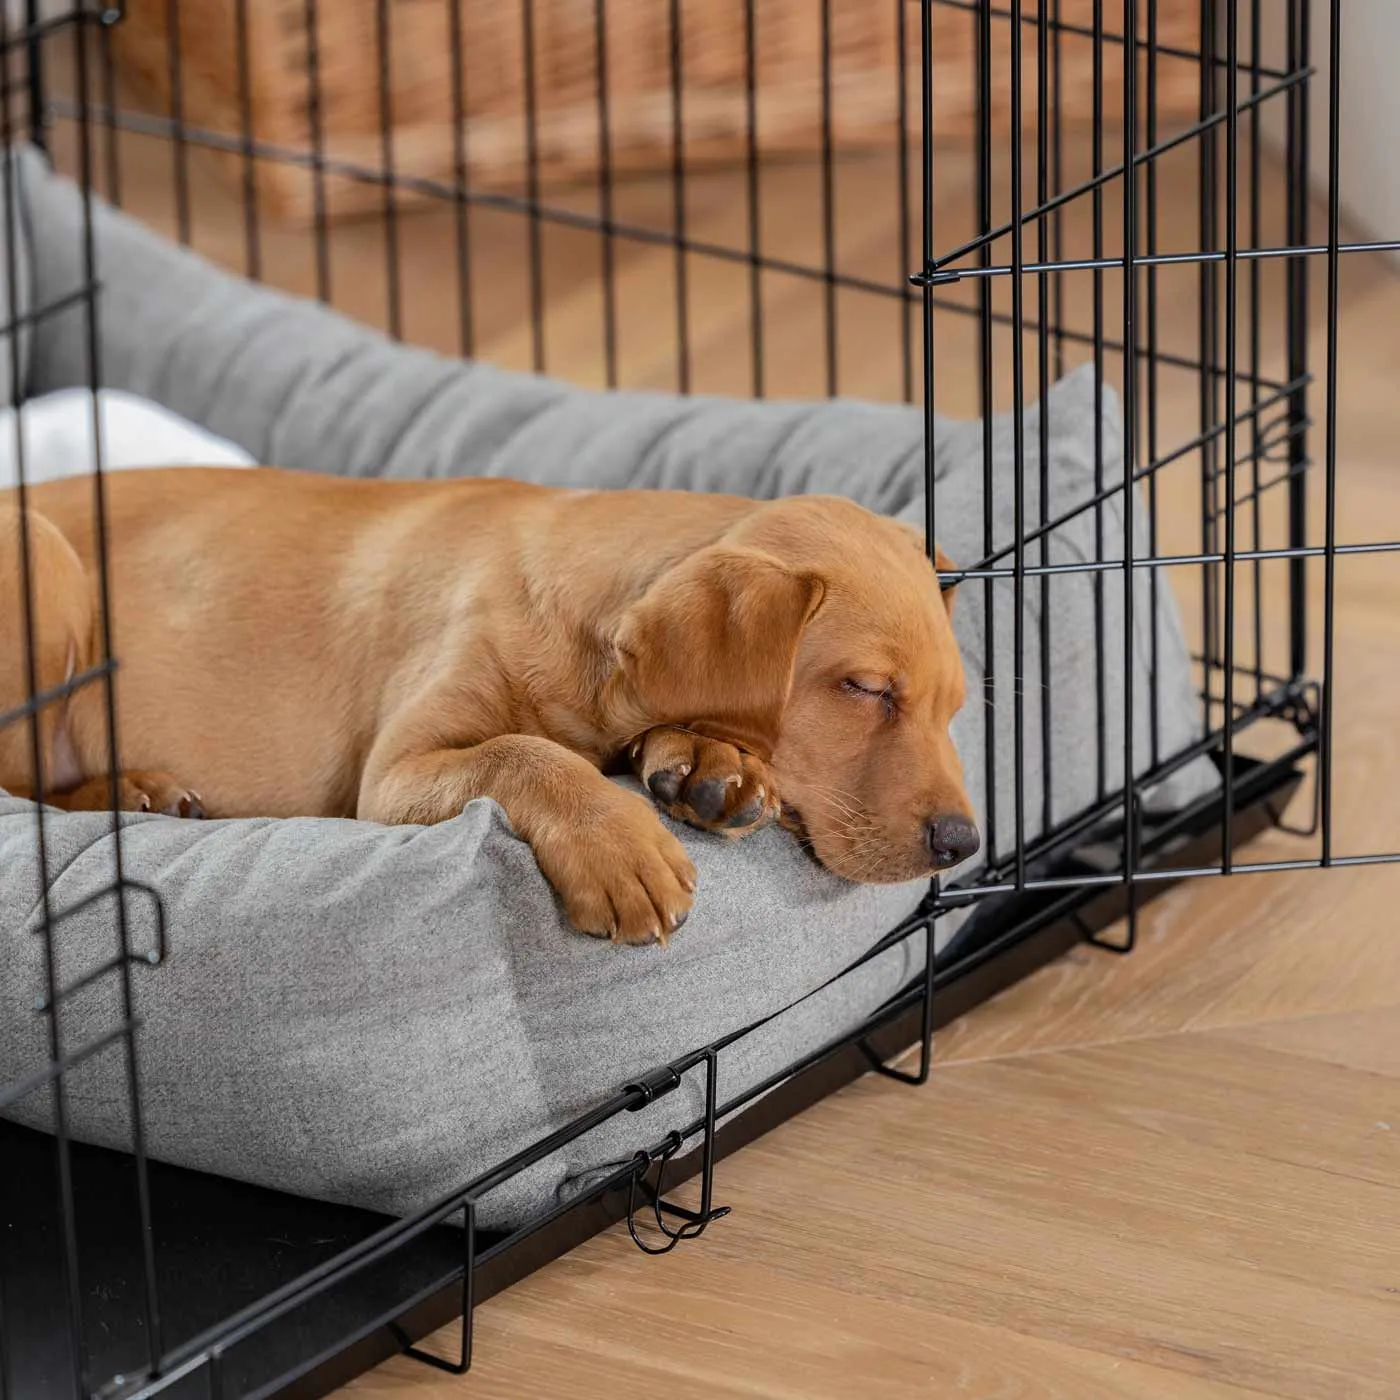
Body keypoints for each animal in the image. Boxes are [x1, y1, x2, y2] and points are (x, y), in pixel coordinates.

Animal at [0, 476, 974, 946]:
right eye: (865, 689)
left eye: (955, 707)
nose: (964, 845)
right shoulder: (396, 773)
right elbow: (525, 752)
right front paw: (620, 846)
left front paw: (712, 763)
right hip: (42, 563)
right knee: (17, 784)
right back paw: (135, 788)